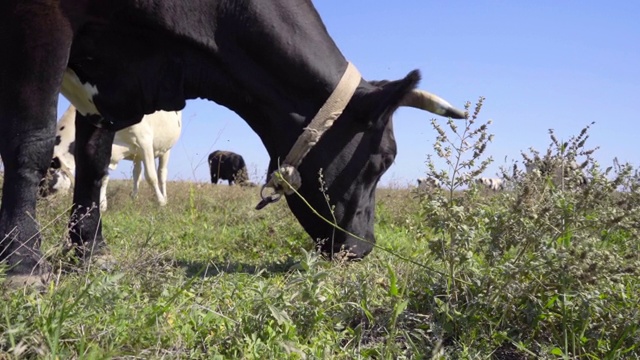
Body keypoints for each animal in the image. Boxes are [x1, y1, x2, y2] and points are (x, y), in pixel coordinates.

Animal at [42, 105, 182, 211]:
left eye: (48, 181)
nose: (44, 208)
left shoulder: (144, 140)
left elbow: (151, 177)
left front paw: (161, 202)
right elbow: (103, 178)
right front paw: (101, 205)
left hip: (165, 149)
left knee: (161, 173)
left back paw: (164, 198)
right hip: (137, 154)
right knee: (137, 173)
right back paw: (134, 198)